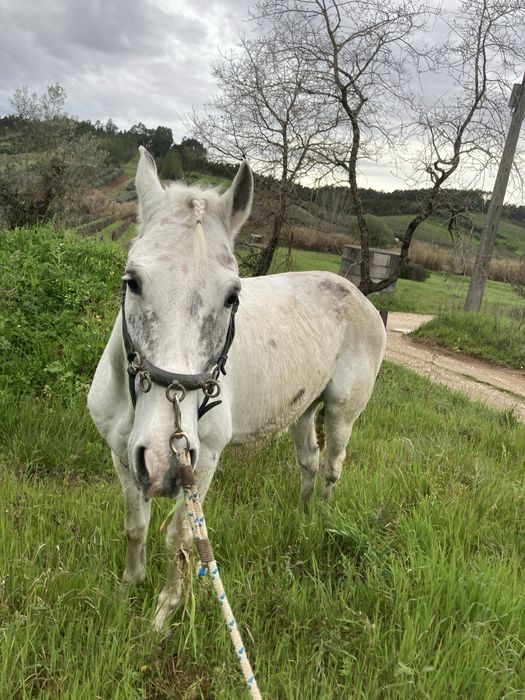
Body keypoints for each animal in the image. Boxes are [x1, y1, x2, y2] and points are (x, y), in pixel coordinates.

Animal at [87, 147, 387, 630]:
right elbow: (136, 525)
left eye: (232, 296)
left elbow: (181, 538)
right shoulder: (122, 455)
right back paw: (303, 518)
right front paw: (129, 587)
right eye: (131, 281)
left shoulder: (204, 460)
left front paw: (163, 614)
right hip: (302, 409)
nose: (164, 458)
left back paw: (322, 518)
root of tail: (356, 293)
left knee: (331, 466)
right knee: (308, 461)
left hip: (342, 411)